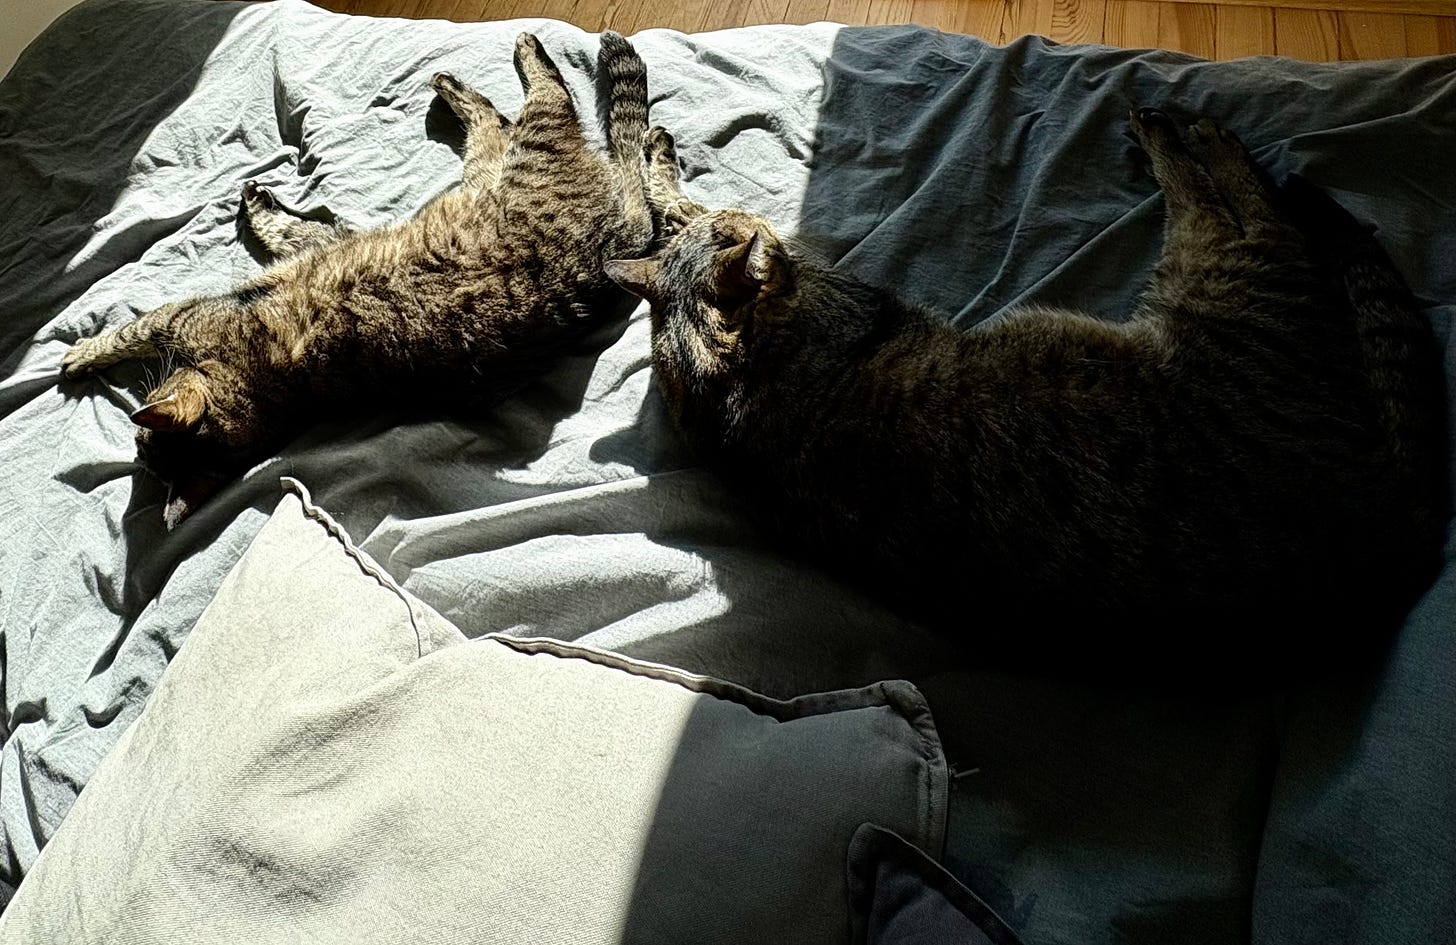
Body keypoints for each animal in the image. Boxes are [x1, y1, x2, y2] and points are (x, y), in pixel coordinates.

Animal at [605, 108, 1444, 669]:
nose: (763, 234)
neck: (732, 396)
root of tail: (1383, 532)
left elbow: (670, 211)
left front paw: (657, 162)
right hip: (1223, 283)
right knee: (1238, 209)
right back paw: (1191, 139)